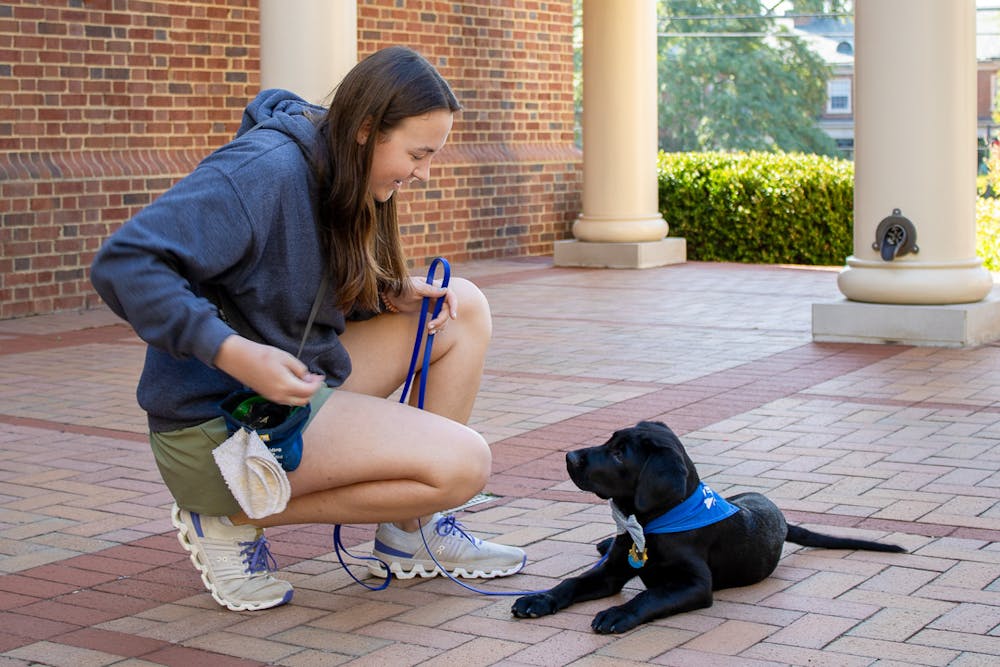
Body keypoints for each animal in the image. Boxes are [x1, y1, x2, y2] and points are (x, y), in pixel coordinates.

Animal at [512, 420, 904, 636]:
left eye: (620, 453)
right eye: (610, 443)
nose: (569, 457)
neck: (650, 525)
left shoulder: (695, 584)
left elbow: (647, 596)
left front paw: (617, 614)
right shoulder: (611, 572)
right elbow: (571, 583)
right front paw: (539, 599)